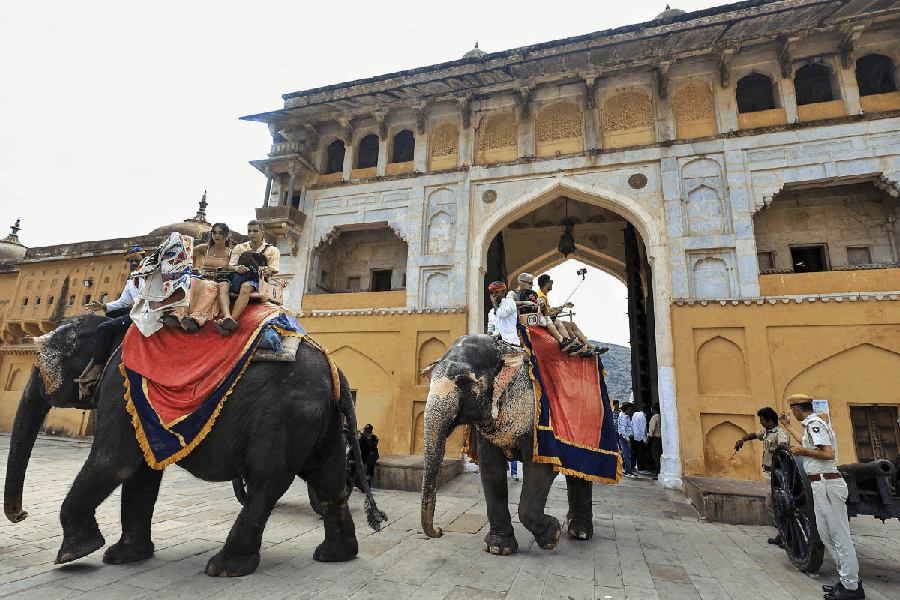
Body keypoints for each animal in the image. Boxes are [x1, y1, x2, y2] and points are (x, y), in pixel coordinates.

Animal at [4, 312, 386, 577]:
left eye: (43, 364)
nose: (21, 515)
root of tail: (336, 371)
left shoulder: (120, 383)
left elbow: (115, 462)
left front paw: (75, 553)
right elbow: (142, 472)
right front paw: (123, 557)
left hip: (285, 417)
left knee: (267, 481)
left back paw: (225, 568)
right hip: (323, 422)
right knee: (329, 482)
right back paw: (333, 556)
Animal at [421, 333, 595, 555]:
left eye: (464, 381)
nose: (439, 530)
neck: (503, 351)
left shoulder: (537, 421)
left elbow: (540, 469)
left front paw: (552, 536)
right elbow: (490, 468)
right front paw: (498, 548)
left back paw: (580, 532)